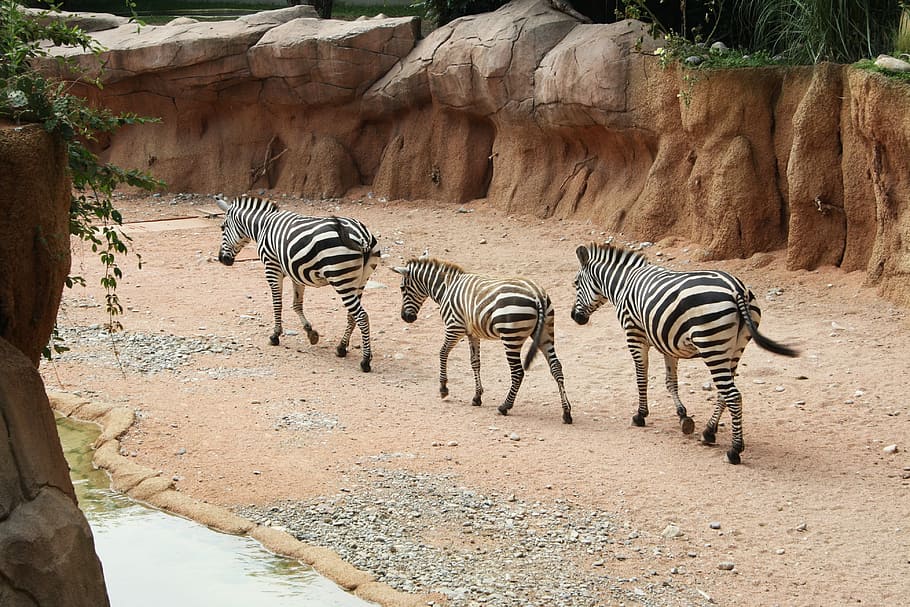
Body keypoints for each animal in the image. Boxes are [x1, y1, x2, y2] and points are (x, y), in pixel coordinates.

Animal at [215, 195, 381, 372]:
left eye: (223, 227)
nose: (222, 259)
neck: (262, 225)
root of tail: (362, 236)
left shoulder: (272, 267)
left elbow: (277, 303)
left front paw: (275, 335)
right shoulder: (296, 272)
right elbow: (296, 305)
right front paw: (311, 332)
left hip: (341, 278)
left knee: (361, 316)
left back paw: (365, 361)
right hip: (360, 280)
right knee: (352, 315)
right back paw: (341, 348)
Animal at [392, 256, 573, 424]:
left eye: (402, 288)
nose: (406, 318)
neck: (446, 287)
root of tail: (536, 295)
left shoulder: (454, 327)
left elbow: (442, 353)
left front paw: (443, 388)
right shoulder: (473, 333)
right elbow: (475, 363)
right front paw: (477, 396)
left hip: (511, 337)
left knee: (518, 372)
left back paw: (505, 406)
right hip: (545, 334)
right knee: (556, 367)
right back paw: (566, 412)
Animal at [570, 242, 798, 464]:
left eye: (576, 283)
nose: (574, 317)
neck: (624, 283)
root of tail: (737, 288)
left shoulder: (634, 335)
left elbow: (641, 378)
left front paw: (640, 415)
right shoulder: (665, 341)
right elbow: (671, 381)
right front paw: (683, 416)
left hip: (712, 345)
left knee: (733, 395)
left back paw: (734, 451)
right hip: (735, 347)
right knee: (724, 392)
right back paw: (709, 432)